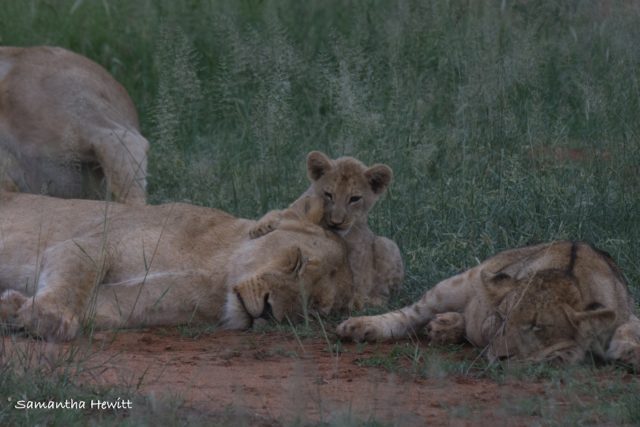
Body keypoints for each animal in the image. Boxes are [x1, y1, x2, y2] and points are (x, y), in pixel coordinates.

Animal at [0, 192, 352, 341]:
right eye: (297, 262)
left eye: (311, 308)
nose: (267, 312)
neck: (216, 269)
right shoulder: (94, 243)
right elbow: (78, 274)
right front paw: (47, 317)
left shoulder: (140, 302)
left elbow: (102, 309)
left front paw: (11, 306)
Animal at [250, 151, 404, 309]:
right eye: (329, 194)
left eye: (354, 198)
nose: (336, 222)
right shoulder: (295, 209)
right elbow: (279, 212)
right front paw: (260, 227)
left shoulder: (357, 258)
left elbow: (353, 282)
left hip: (386, 244)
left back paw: (374, 301)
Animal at [337, 241, 640, 368]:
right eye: (502, 319)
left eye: (536, 327)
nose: (500, 357)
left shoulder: (626, 311)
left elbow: (628, 327)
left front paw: (628, 351)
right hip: (461, 281)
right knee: (410, 314)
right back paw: (359, 327)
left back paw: (445, 326)